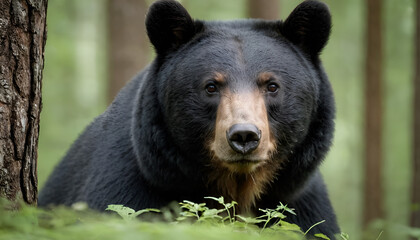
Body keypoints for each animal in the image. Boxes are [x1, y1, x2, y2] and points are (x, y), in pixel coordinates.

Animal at [38, 0, 342, 238]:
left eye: (272, 85)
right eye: (211, 86)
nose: (244, 136)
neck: (238, 187)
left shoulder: (300, 204)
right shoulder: (131, 187)